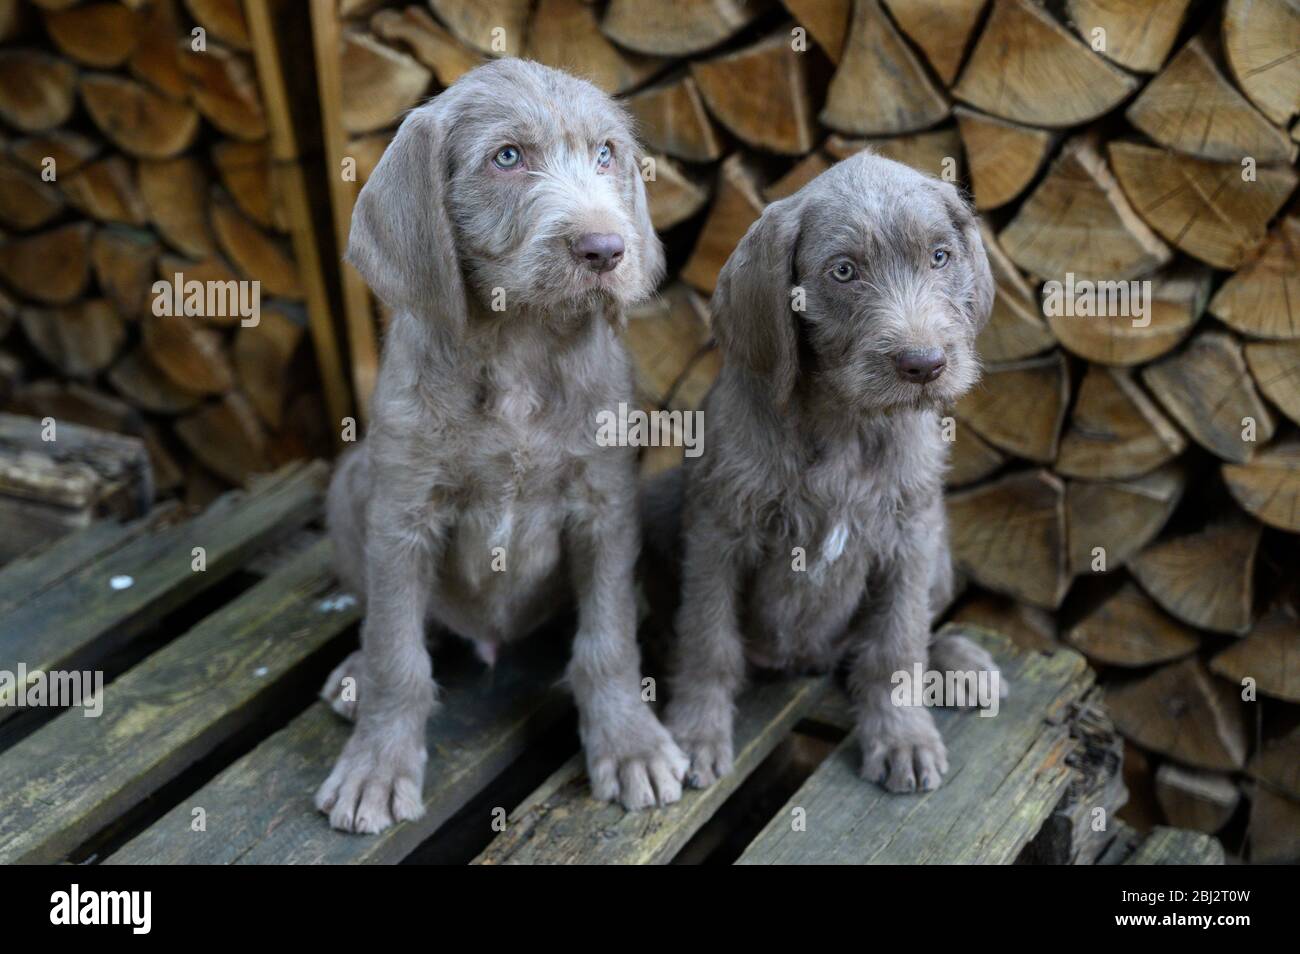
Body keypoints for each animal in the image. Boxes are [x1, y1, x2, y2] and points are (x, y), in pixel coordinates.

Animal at [318, 61, 686, 837]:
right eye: (508, 157)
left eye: (606, 154)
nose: (606, 249)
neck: (520, 343)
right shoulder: (402, 515)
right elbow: (397, 652)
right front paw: (376, 767)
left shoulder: (606, 506)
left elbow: (607, 640)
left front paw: (630, 743)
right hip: (352, 482)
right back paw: (355, 674)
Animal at [660, 147, 1003, 790]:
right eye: (844, 272)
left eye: (940, 257)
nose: (925, 364)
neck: (846, 423)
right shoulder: (719, 532)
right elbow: (706, 640)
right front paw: (695, 731)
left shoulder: (911, 535)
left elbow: (897, 643)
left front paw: (902, 736)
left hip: (940, 549)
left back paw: (958, 662)